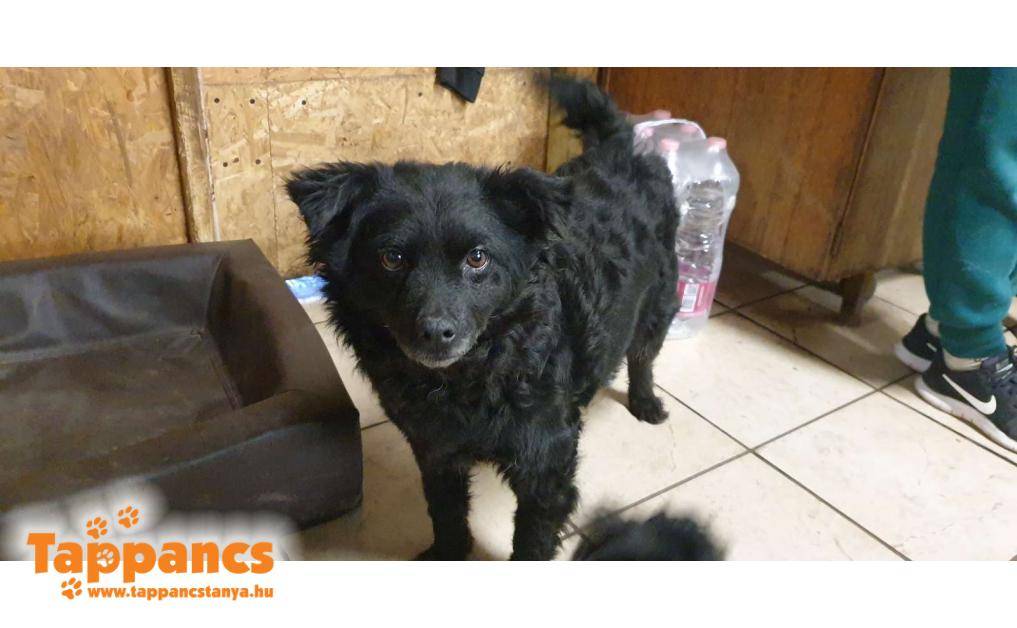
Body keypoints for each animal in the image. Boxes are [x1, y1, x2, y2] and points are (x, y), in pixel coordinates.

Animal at [286, 75, 679, 560]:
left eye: (477, 258)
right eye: (391, 258)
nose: (436, 333)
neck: (467, 377)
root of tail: (620, 151)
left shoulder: (547, 462)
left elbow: (532, 541)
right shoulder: (434, 448)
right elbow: (445, 511)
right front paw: (447, 552)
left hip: (660, 305)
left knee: (643, 357)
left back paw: (646, 403)